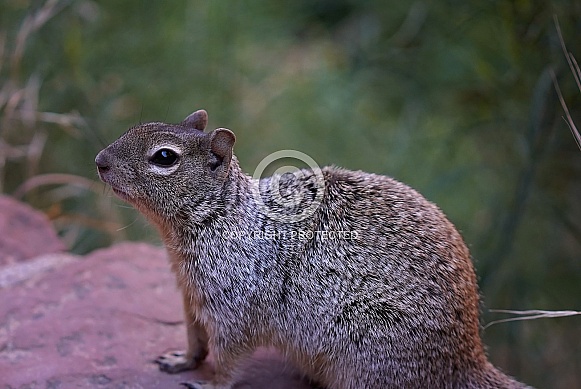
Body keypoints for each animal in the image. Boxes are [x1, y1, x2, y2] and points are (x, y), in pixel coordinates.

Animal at [95, 109, 532, 388]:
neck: (223, 217)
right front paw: (180, 361)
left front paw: (210, 385)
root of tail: (467, 362)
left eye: (164, 157)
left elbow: (229, 360)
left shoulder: (236, 311)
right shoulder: (191, 300)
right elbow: (194, 341)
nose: (99, 160)